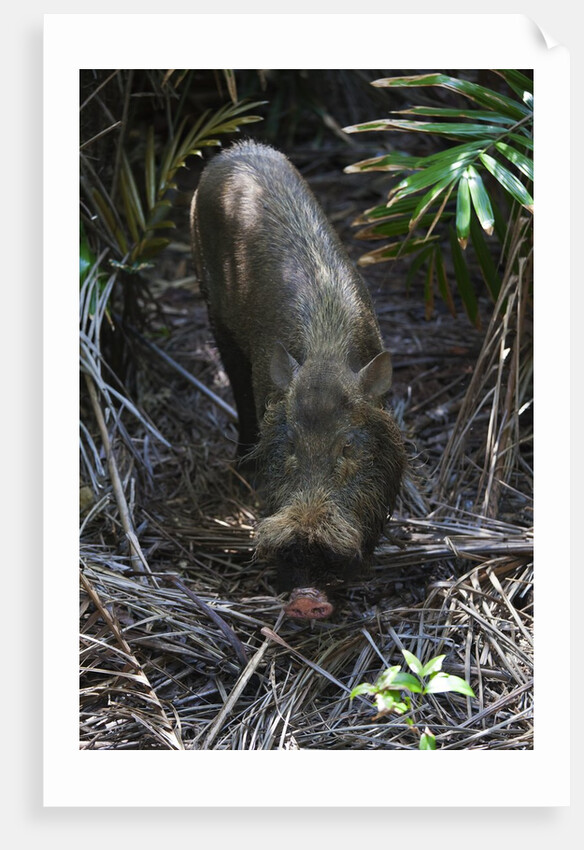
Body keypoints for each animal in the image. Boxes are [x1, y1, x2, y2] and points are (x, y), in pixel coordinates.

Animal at [190, 140, 406, 619]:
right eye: (288, 447)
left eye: (348, 448)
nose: (306, 600)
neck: (326, 356)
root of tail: (237, 150)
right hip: (210, 303)